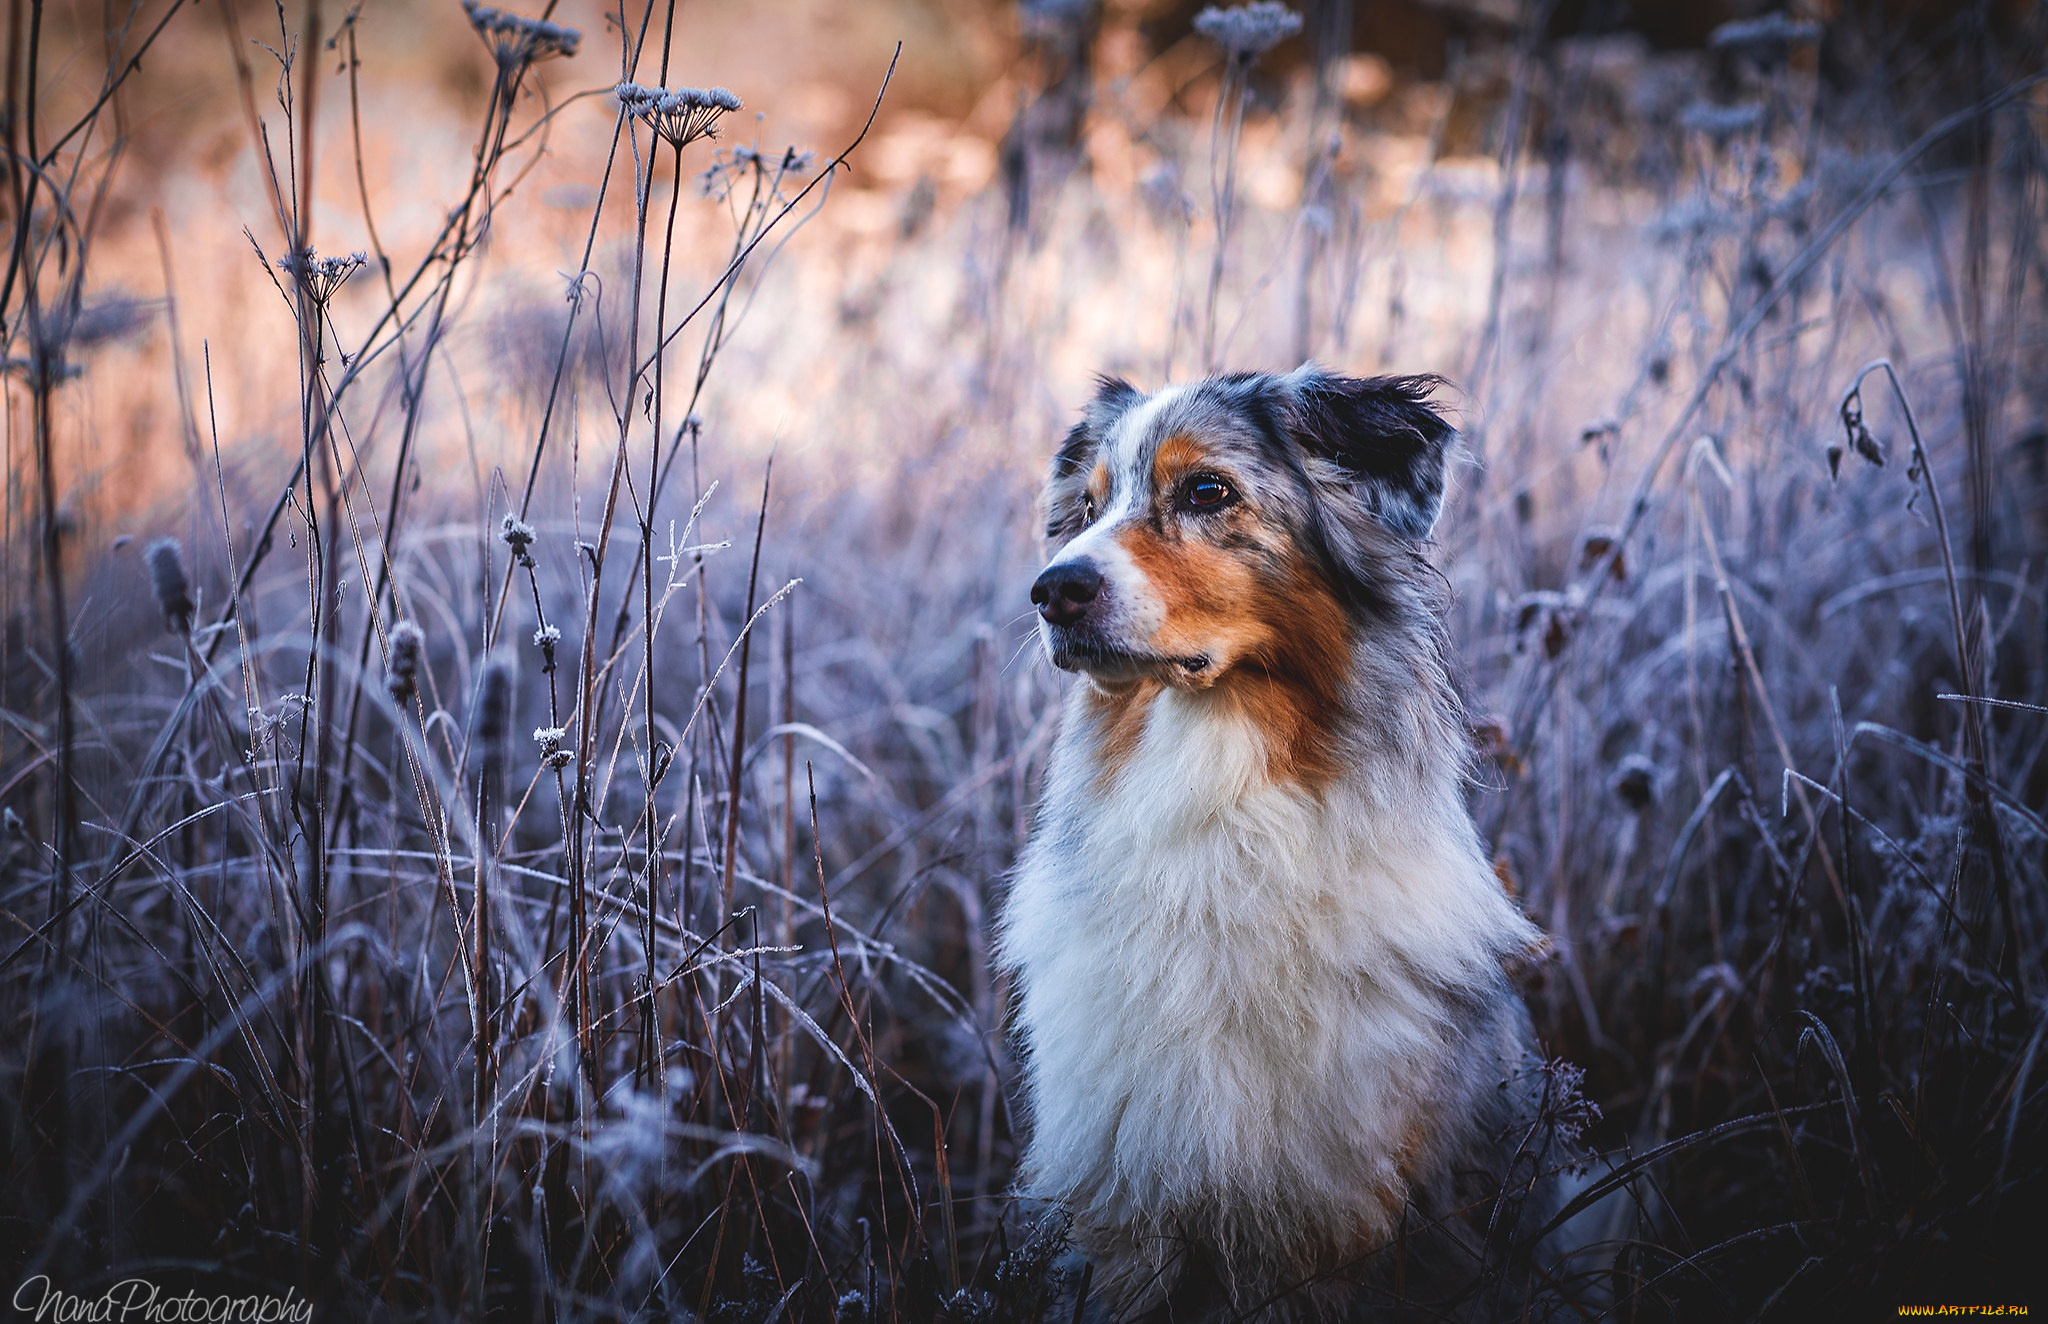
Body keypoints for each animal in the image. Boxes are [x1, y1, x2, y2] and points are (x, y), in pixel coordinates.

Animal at [999, 368, 1572, 1319]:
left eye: (1206, 491)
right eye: (1085, 507)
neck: (1221, 799)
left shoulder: (1344, 1210)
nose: (1050, 591)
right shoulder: (1124, 1206)